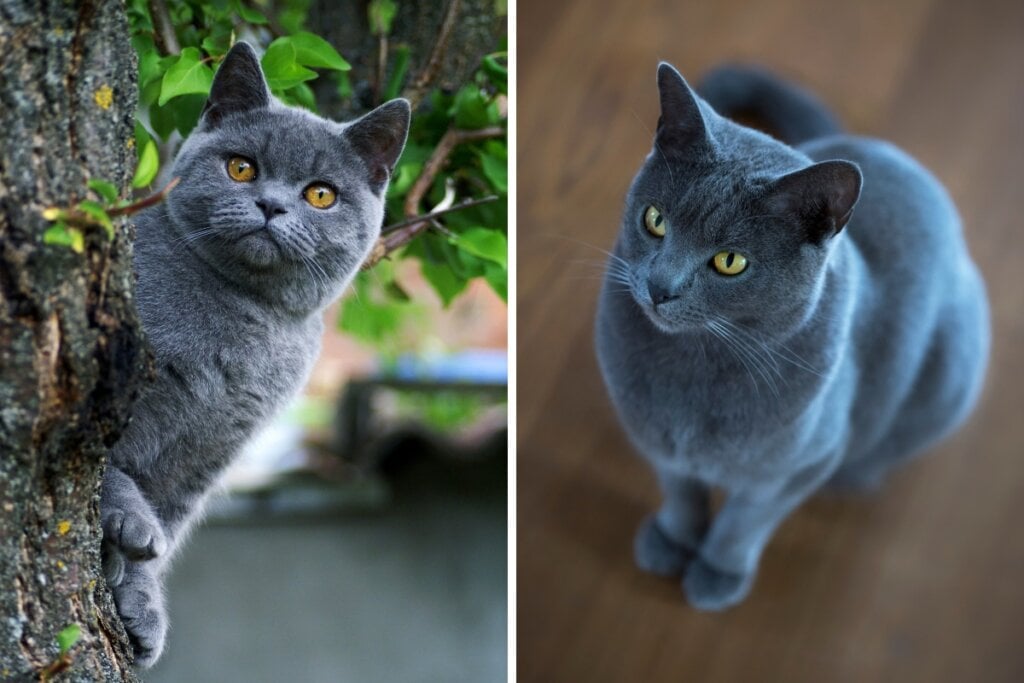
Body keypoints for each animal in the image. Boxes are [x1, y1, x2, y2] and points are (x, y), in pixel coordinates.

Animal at [100, 40, 411, 663]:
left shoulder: (211, 447)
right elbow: (100, 457)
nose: (270, 206)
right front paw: (127, 519)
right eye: (241, 167)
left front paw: (140, 605)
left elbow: (167, 521)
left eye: (321, 194)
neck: (248, 323)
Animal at [598, 62, 987, 610]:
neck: (693, 370)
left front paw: (716, 575)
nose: (659, 287)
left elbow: (743, 523)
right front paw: (671, 542)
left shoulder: (801, 466)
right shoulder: (656, 439)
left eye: (730, 261)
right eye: (655, 220)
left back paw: (856, 475)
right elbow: (681, 492)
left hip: (950, 374)